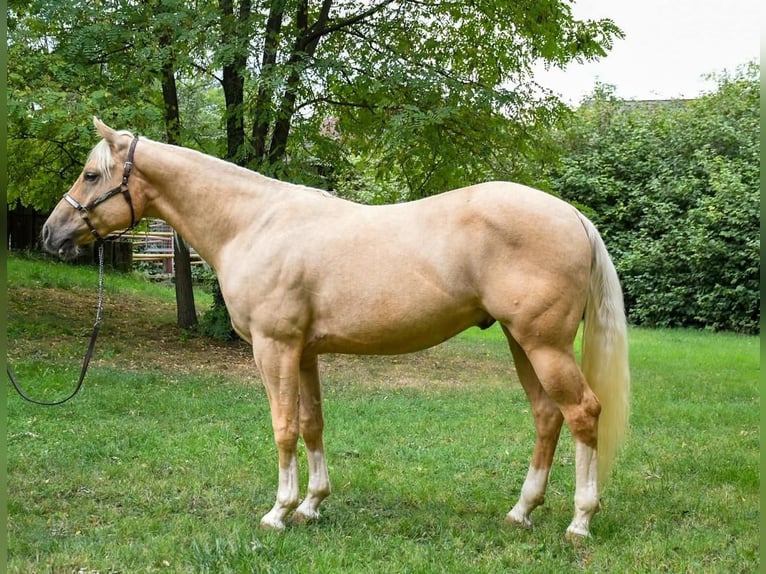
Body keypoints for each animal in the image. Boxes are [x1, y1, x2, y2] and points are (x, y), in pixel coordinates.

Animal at [42, 119, 632, 544]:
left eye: (91, 175)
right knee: (547, 416)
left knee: (583, 413)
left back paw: (580, 521)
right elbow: (311, 424)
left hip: (543, 344)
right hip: (520, 342)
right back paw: (521, 511)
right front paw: (312, 504)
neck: (254, 224)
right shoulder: (304, 352)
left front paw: (279, 511)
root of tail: (573, 216)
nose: (51, 234)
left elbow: (283, 428)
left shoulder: (274, 348)